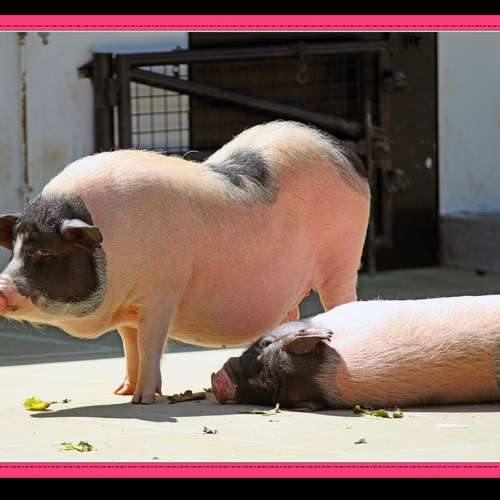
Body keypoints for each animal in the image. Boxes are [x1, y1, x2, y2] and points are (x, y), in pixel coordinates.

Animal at [0, 120, 369, 404]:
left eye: (46, 253)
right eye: (15, 249)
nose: (1, 286)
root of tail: (345, 154)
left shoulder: (160, 294)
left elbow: (149, 345)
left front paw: (143, 400)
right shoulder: (128, 307)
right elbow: (129, 346)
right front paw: (121, 392)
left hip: (343, 257)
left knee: (343, 298)